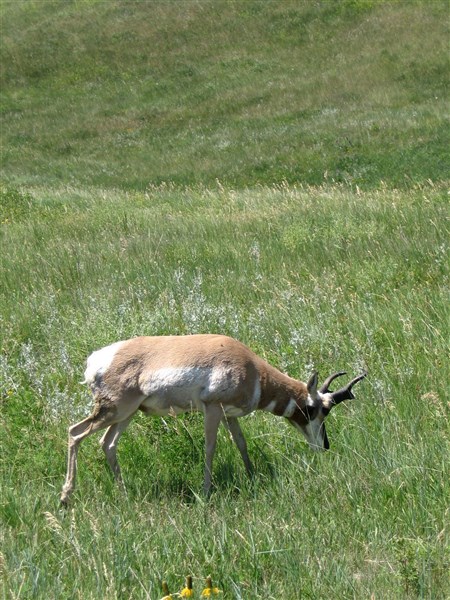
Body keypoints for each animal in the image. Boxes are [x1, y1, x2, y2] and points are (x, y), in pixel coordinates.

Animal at [60, 334, 366, 504]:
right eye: (316, 409)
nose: (324, 446)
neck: (250, 367)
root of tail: (96, 360)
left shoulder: (230, 414)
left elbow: (241, 443)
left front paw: (252, 476)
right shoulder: (213, 408)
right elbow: (210, 447)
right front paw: (206, 491)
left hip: (127, 414)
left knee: (107, 443)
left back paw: (123, 494)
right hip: (114, 411)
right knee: (75, 432)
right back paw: (65, 498)